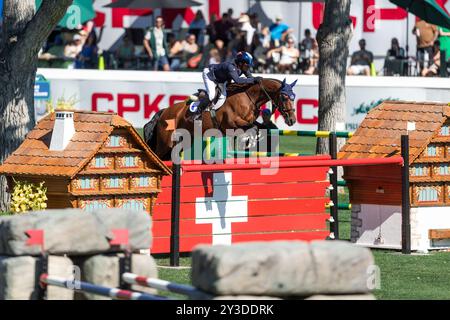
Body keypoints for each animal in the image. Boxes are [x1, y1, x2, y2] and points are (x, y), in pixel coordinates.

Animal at [144, 76, 298, 159]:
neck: (248, 97)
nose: (292, 120)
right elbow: (253, 128)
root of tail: (164, 112)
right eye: (284, 97)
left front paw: (249, 141)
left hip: (184, 141)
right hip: (166, 143)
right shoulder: (232, 123)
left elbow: (256, 127)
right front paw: (248, 141)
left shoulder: (247, 122)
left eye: (293, 97)